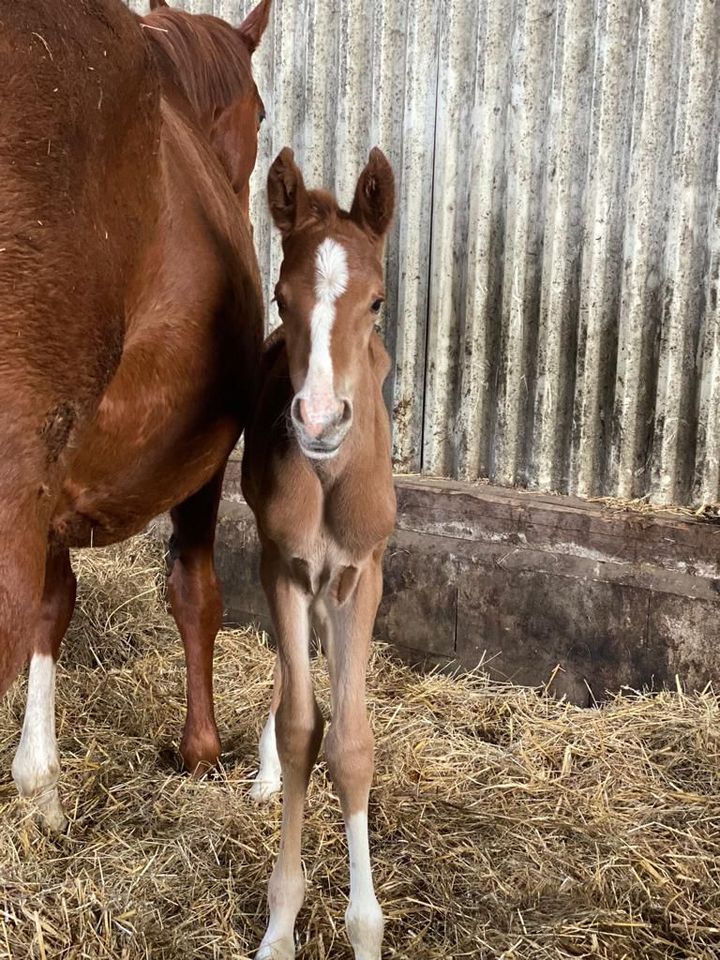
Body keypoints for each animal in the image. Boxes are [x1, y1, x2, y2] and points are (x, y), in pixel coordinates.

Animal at [3, 0, 270, 832]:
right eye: (259, 109)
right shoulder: (207, 461)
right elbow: (195, 592)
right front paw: (201, 750)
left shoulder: (54, 494)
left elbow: (52, 608)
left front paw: (41, 784)